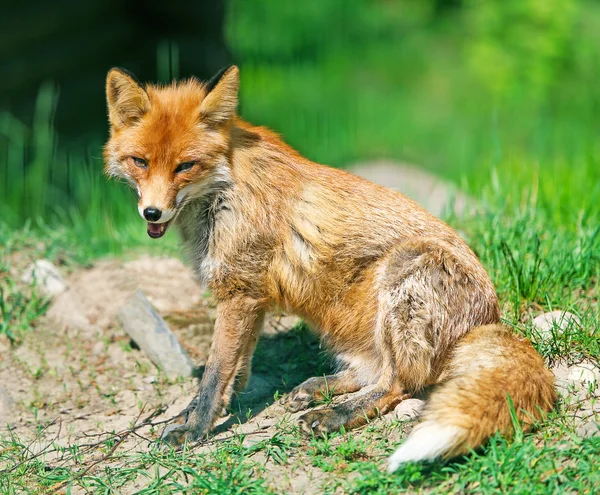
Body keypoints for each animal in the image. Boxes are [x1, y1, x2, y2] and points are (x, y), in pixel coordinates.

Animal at [104, 65, 556, 468]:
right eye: (140, 161)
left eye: (185, 166)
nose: (152, 213)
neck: (224, 189)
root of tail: (489, 319)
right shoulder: (252, 298)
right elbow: (234, 373)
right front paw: (196, 414)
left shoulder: (240, 294)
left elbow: (215, 373)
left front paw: (195, 429)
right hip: (339, 320)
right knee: (377, 370)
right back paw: (317, 389)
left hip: (403, 273)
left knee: (400, 382)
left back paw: (334, 415)